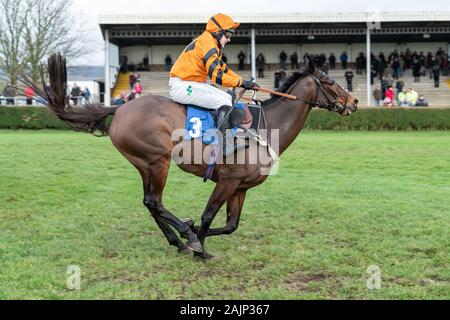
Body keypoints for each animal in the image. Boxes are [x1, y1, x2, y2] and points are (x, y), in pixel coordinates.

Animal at [27, 53, 358, 260]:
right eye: (330, 82)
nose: (354, 101)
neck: (266, 127)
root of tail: (119, 107)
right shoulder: (227, 181)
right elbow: (208, 216)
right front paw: (199, 242)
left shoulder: (240, 187)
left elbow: (230, 225)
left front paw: (195, 237)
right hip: (157, 161)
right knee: (154, 201)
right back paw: (185, 236)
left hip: (144, 165)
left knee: (150, 203)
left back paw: (178, 240)